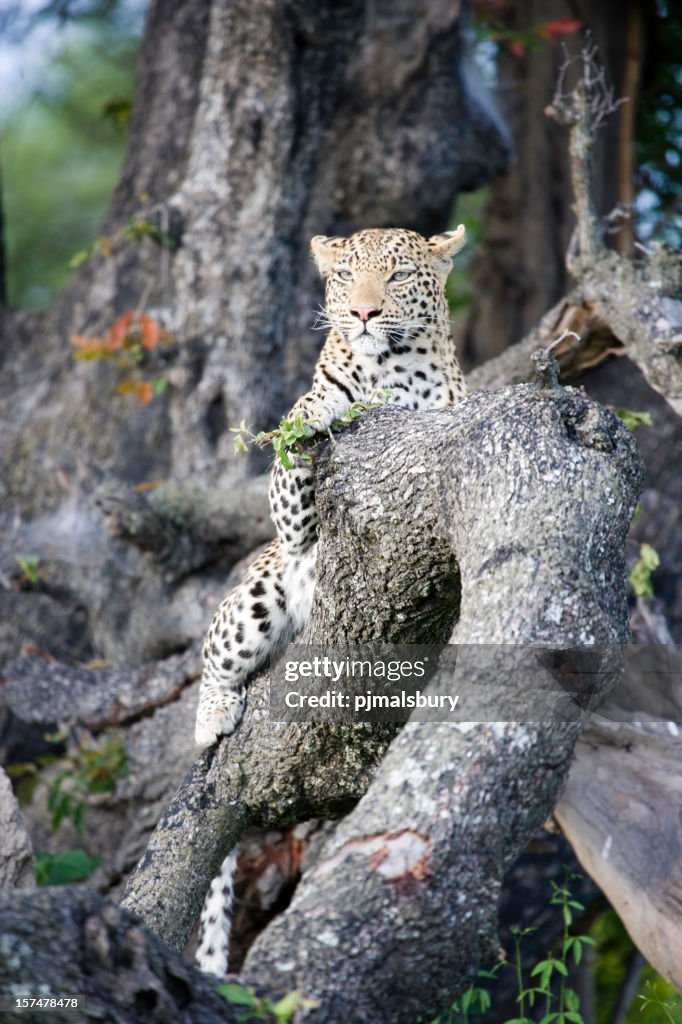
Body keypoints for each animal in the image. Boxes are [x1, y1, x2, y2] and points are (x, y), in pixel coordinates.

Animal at [193, 224, 464, 974]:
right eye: (345, 277)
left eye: (397, 277)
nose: (365, 313)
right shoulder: (293, 521)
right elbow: (297, 444)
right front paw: (318, 412)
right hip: (260, 591)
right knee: (214, 658)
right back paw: (212, 715)